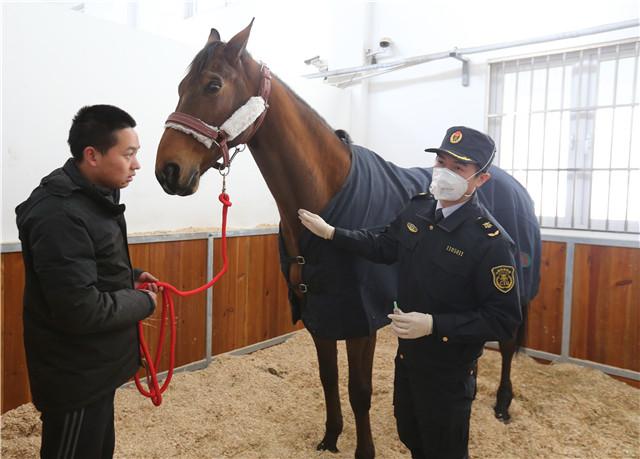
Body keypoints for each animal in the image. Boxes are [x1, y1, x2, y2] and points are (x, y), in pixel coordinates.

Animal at [155, 21, 540, 457]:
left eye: (213, 85)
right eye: (181, 85)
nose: (167, 170)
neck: (326, 194)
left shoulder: (362, 321)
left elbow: (359, 390)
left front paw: (363, 450)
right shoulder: (319, 313)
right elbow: (328, 378)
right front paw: (330, 436)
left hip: (514, 290)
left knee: (505, 343)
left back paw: (503, 404)